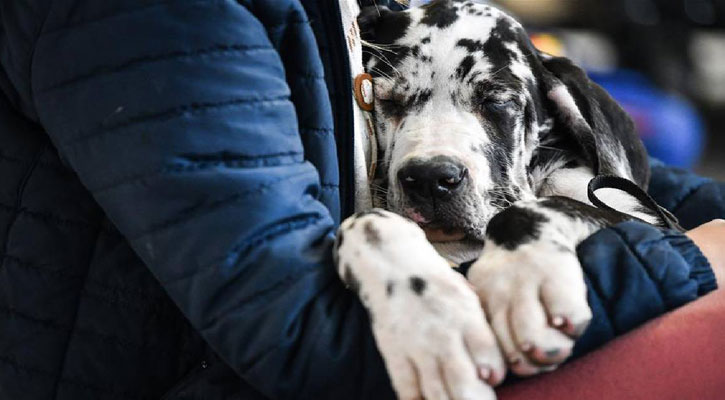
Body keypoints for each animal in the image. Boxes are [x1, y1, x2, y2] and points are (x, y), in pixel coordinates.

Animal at [333, 1, 669, 399]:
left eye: (495, 101)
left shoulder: (647, 222)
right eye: (386, 100)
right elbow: (367, 222)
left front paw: (521, 280)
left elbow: (534, 209)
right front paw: (431, 326)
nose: (431, 179)